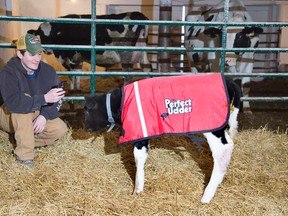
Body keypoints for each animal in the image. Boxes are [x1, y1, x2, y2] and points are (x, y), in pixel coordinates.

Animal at [84, 74, 243, 202]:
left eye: (86, 111)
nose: (84, 128)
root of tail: (228, 81)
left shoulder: (141, 130)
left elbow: (138, 157)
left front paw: (137, 190)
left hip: (212, 127)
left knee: (223, 150)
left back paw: (206, 196)